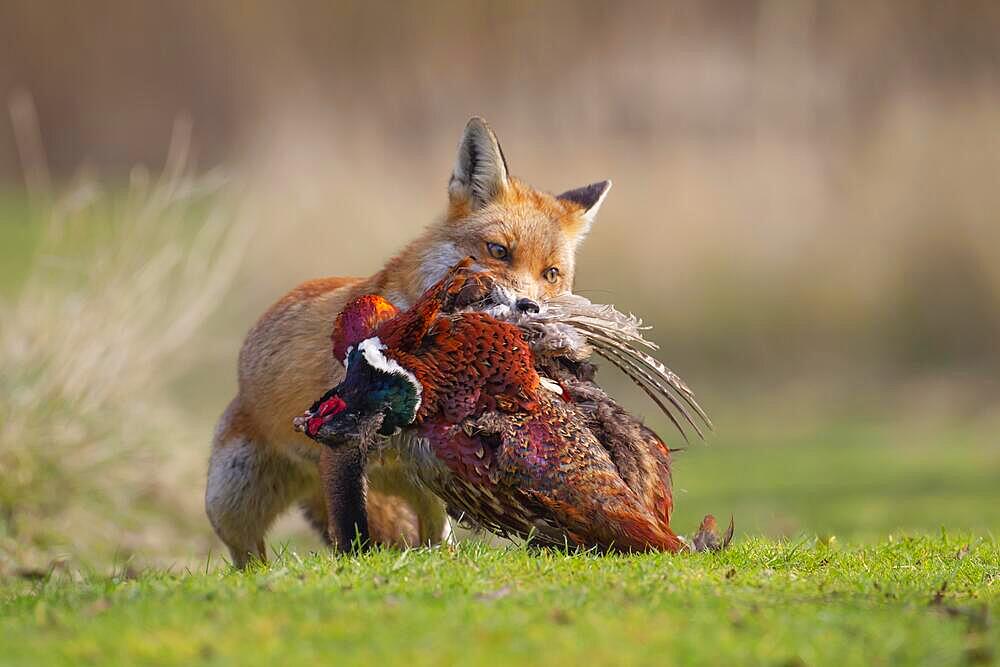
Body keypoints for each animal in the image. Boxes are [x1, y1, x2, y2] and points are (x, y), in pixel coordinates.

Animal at [205, 117, 608, 568]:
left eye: (551, 274)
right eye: (498, 251)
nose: (528, 307)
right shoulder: (341, 436)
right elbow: (350, 525)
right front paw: (354, 562)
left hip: (410, 479)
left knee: (428, 534)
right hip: (230, 500)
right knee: (249, 556)